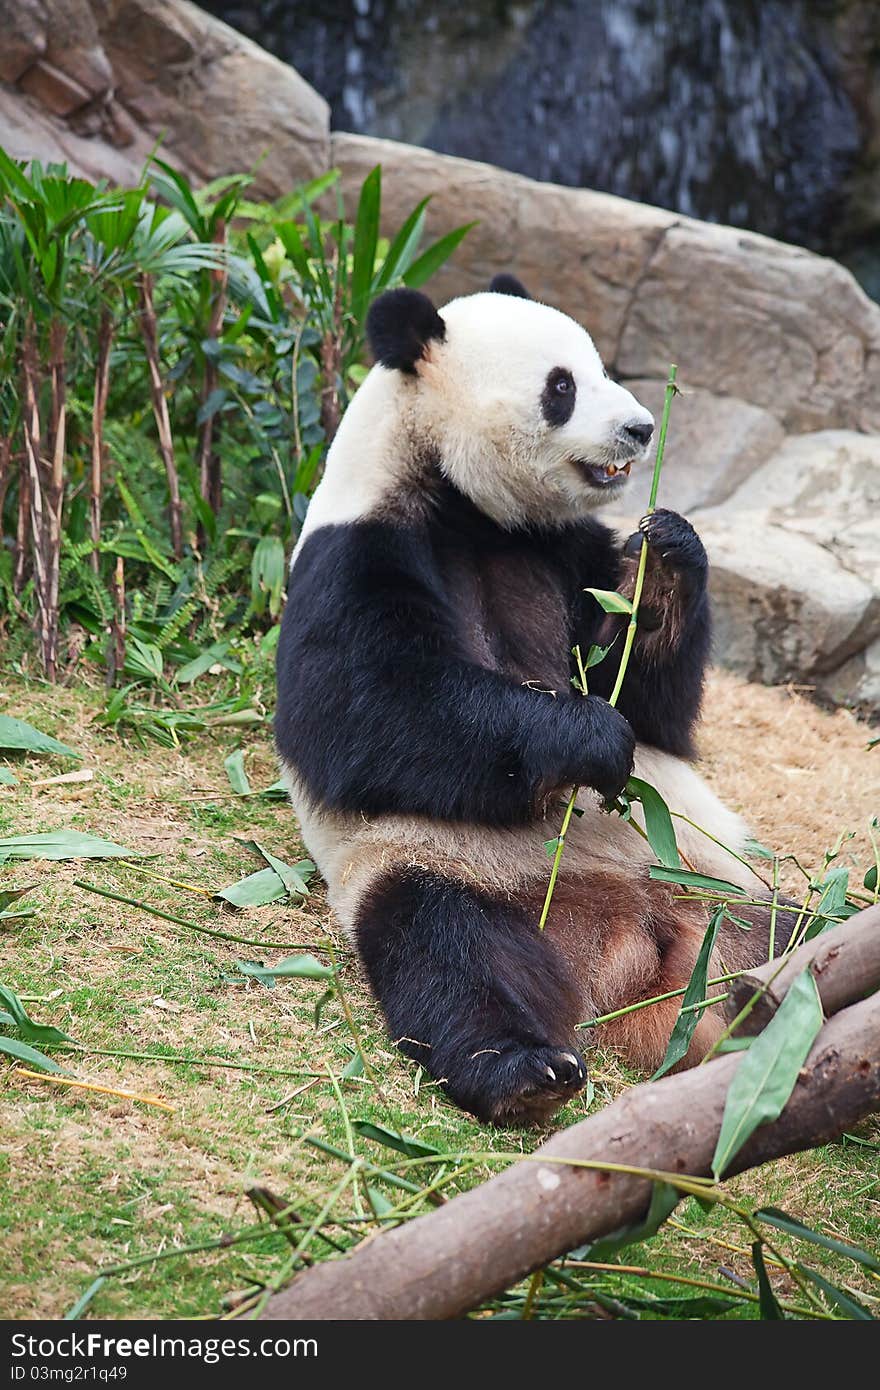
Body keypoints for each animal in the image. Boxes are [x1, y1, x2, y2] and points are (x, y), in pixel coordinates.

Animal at [275, 276, 789, 1123]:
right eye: (561, 387)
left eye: (603, 367)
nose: (640, 428)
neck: (464, 503)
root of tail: (628, 952)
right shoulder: (352, 554)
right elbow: (363, 717)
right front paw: (590, 738)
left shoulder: (565, 550)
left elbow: (658, 708)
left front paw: (666, 552)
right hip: (439, 871)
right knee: (458, 960)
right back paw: (526, 1071)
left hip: (723, 887)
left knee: (787, 936)